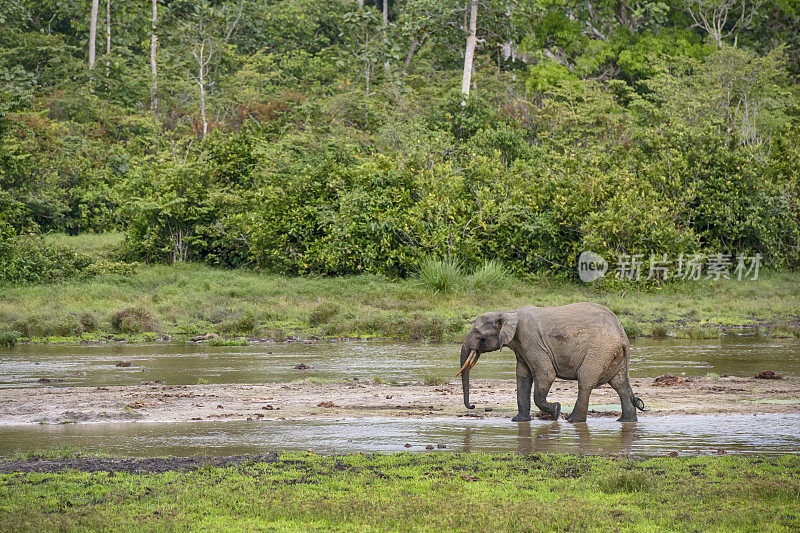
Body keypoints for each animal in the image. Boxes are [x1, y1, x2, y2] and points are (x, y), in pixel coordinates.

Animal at [456, 304, 644, 420]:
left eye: (477, 332)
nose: (473, 405)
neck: (508, 312)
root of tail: (623, 335)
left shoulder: (531, 340)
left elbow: (545, 374)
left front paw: (556, 410)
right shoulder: (522, 347)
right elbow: (522, 377)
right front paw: (518, 421)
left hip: (600, 350)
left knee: (585, 382)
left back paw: (572, 420)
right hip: (613, 354)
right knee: (620, 385)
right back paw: (625, 421)